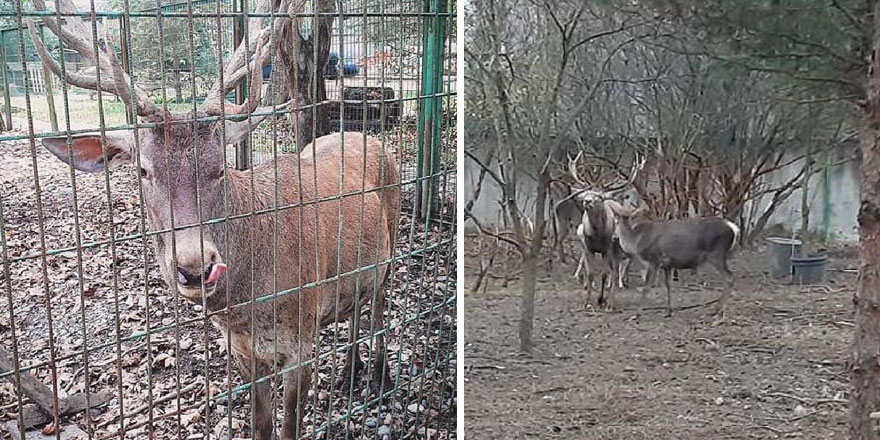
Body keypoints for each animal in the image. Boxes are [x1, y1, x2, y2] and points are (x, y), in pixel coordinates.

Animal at [27, 0, 398, 440]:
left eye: (221, 167)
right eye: (143, 170)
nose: (194, 266)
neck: (246, 307)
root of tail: (370, 137)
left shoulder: (302, 339)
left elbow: (289, 425)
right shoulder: (241, 350)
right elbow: (260, 424)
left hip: (393, 240)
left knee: (379, 304)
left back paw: (379, 374)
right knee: (357, 304)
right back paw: (350, 370)